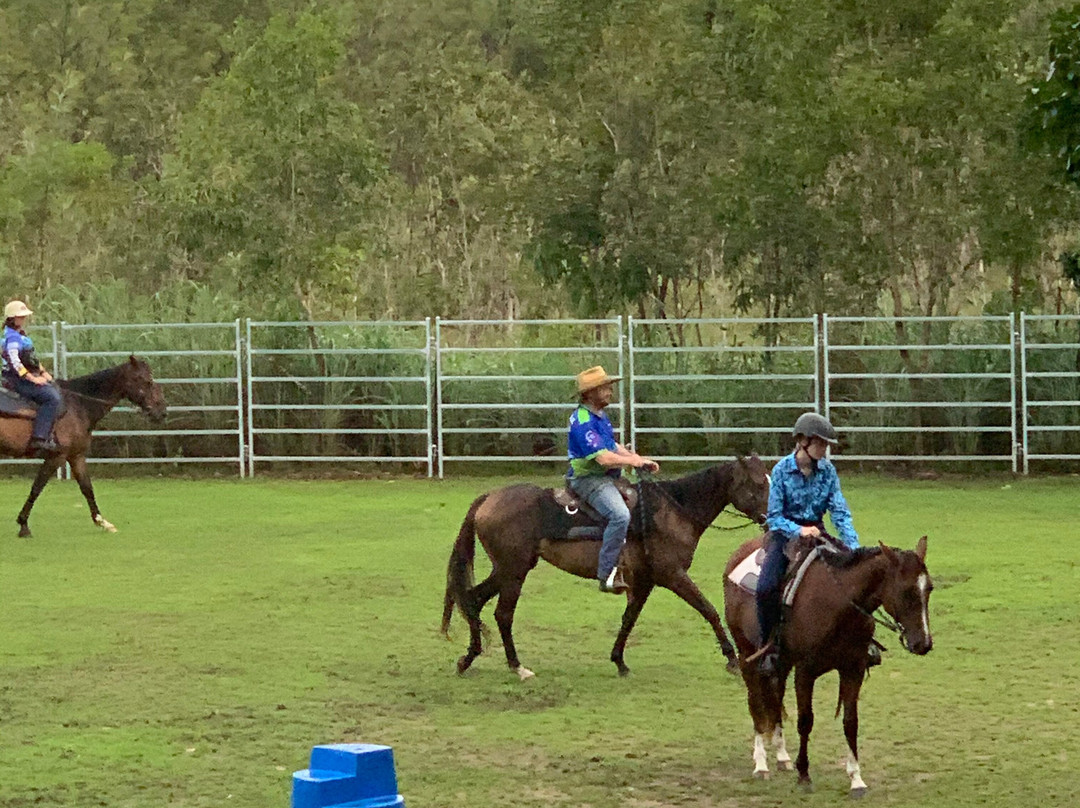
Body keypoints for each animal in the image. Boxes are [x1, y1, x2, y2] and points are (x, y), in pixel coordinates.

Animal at [0, 354, 166, 535]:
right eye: (147, 381)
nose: (162, 410)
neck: (78, 405)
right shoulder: (57, 457)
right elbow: (37, 488)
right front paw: (23, 525)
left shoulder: (76, 456)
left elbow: (87, 488)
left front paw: (102, 521)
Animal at [442, 458, 773, 678]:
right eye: (758, 483)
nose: (771, 518)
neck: (673, 511)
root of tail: (489, 498)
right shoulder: (672, 575)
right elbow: (708, 609)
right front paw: (732, 659)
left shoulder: (644, 581)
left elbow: (629, 618)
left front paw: (619, 661)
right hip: (514, 571)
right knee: (502, 613)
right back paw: (516, 665)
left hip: (507, 569)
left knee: (473, 599)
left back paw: (468, 658)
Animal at [725, 535, 937, 795]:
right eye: (906, 591)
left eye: (929, 588)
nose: (923, 643)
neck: (837, 604)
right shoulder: (805, 672)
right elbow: (805, 720)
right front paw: (804, 774)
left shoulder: (853, 669)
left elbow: (850, 722)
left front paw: (856, 778)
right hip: (746, 652)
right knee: (755, 701)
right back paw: (761, 763)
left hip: (781, 663)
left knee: (775, 699)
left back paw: (782, 756)